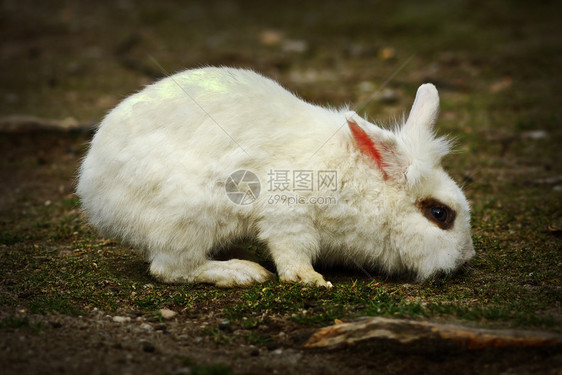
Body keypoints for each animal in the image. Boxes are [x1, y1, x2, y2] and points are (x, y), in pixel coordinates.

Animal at [75, 67, 472, 288]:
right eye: (439, 214)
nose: (465, 260)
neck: (363, 184)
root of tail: (93, 194)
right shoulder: (288, 213)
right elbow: (291, 249)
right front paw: (308, 279)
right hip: (189, 216)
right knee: (171, 268)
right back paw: (240, 272)